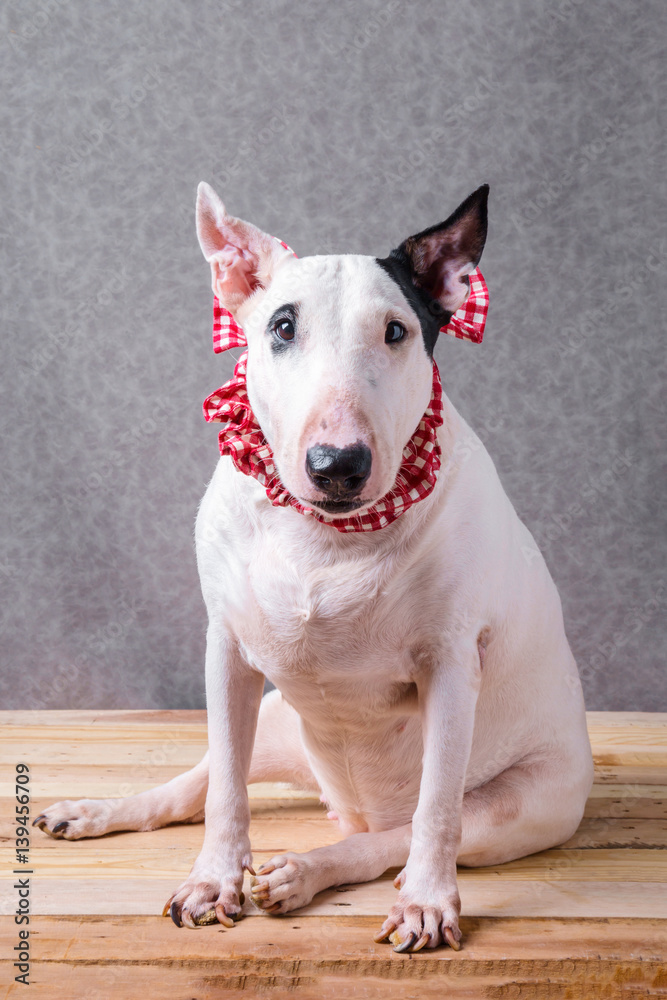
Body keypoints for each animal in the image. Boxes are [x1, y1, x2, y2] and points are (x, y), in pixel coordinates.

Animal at [32, 180, 596, 952]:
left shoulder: (452, 666)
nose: (337, 466)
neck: (326, 535)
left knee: (394, 835)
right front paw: (212, 880)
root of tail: (348, 805)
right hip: (274, 719)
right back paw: (96, 811)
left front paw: (426, 902)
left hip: (522, 805)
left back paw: (307, 872)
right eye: (281, 326)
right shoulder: (227, 651)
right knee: (199, 783)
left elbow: (434, 814)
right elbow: (226, 794)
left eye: (396, 331)